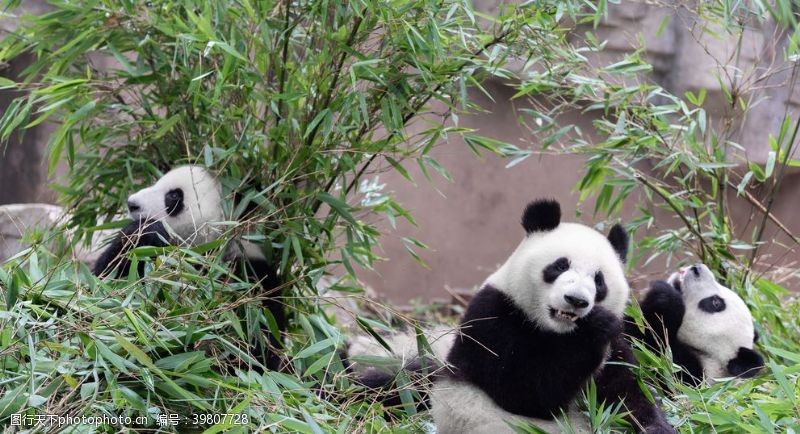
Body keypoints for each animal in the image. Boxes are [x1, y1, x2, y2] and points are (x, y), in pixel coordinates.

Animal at [92, 165, 284, 370]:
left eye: (174, 195)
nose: (132, 204)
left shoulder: (250, 278)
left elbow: (251, 352)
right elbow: (102, 287)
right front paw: (145, 231)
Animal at [422, 200, 672, 434]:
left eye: (599, 280)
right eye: (560, 265)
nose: (576, 300)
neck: (556, 331)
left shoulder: (614, 349)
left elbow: (626, 393)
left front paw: (656, 425)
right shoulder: (493, 318)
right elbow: (527, 392)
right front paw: (595, 328)